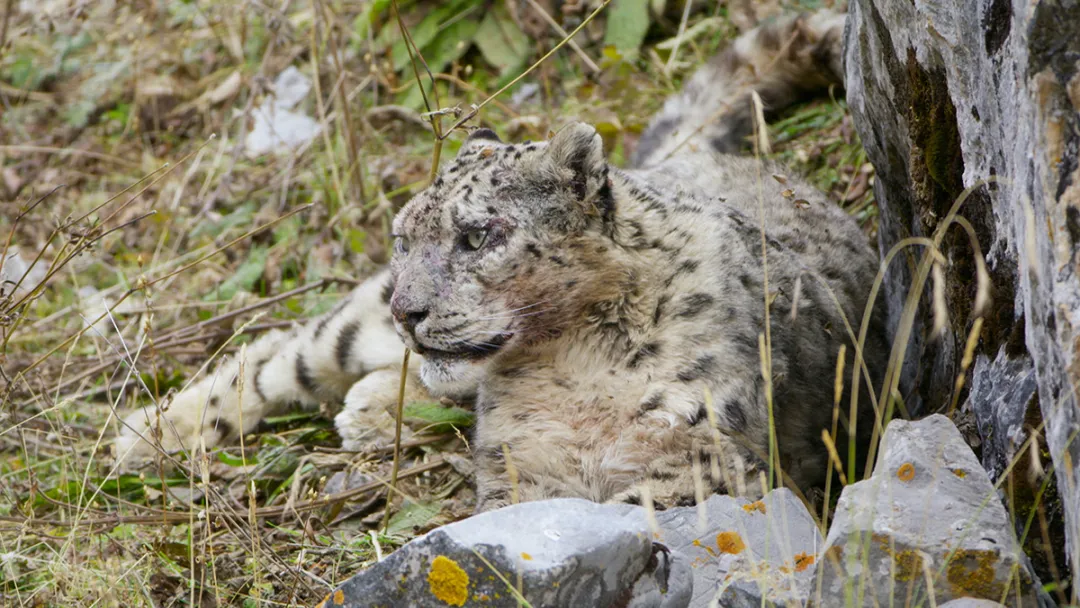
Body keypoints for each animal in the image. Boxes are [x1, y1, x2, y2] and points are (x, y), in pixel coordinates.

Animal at [113, 10, 885, 514]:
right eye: (403, 237)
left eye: (479, 235)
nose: (408, 309)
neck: (576, 366)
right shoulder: (520, 466)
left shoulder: (697, 464)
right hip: (350, 328)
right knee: (284, 351)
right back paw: (150, 435)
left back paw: (366, 410)